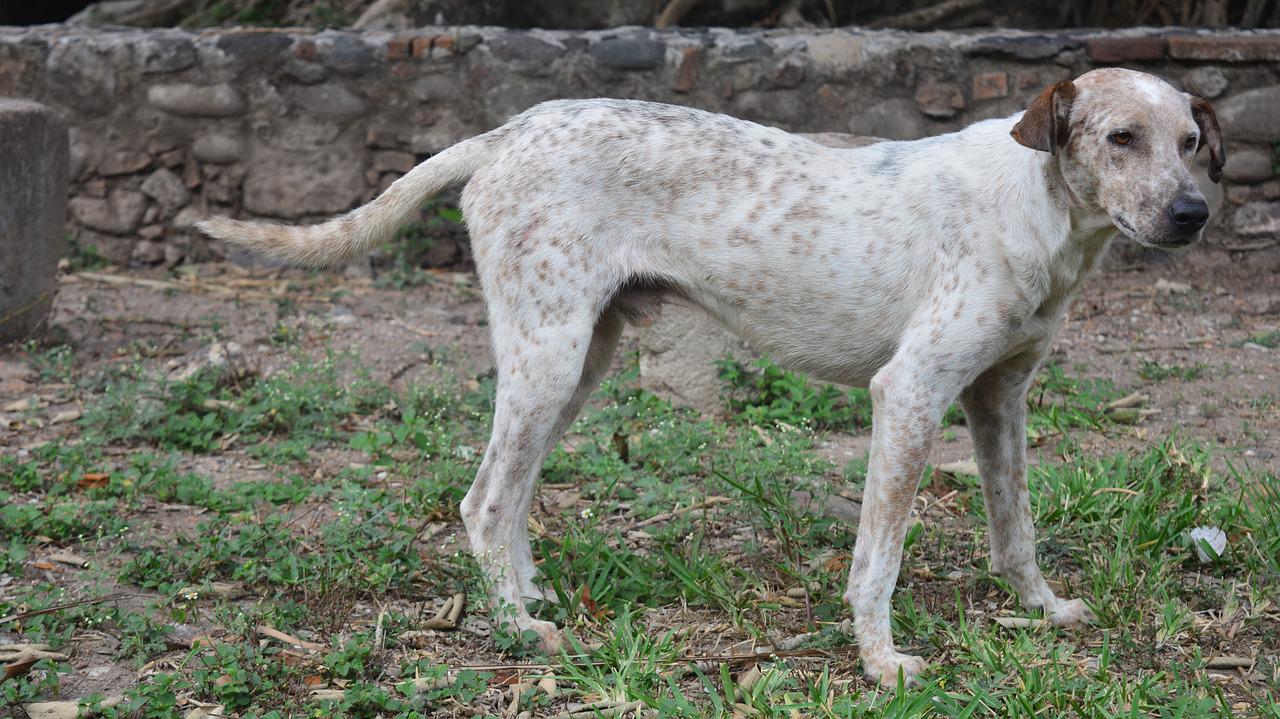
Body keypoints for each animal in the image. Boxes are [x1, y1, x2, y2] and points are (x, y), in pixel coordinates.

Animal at [197, 65, 1218, 680]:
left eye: (1192, 142)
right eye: (1121, 137)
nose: (1194, 215)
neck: (1041, 208)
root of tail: (506, 131)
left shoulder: (998, 398)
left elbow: (1017, 530)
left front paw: (1038, 609)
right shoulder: (910, 393)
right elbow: (878, 561)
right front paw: (880, 663)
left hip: (577, 363)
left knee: (511, 495)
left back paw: (527, 594)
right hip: (548, 356)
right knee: (483, 499)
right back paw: (517, 630)